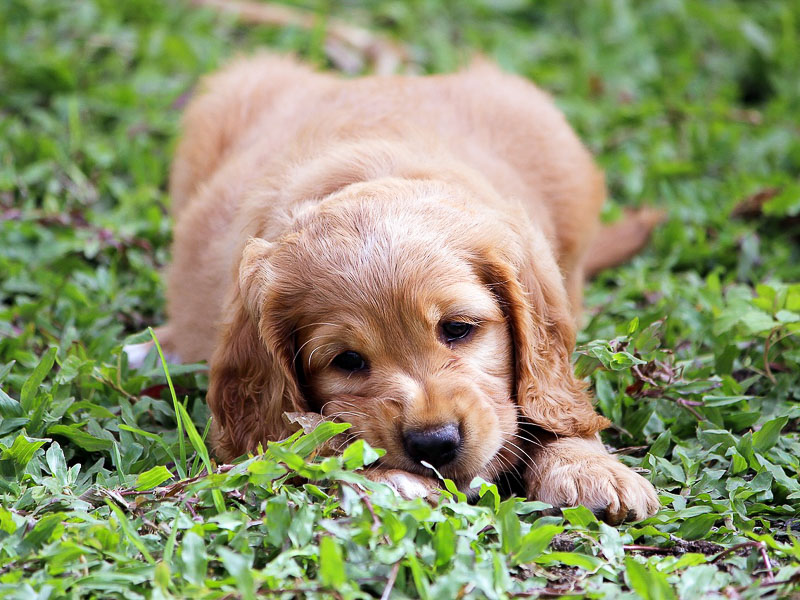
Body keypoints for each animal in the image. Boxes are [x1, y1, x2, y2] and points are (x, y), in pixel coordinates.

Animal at [134, 55, 660, 524]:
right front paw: (389, 479)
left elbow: (553, 398)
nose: (434, 444)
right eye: (346, 361)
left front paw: (587, 467)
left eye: (458, 329)